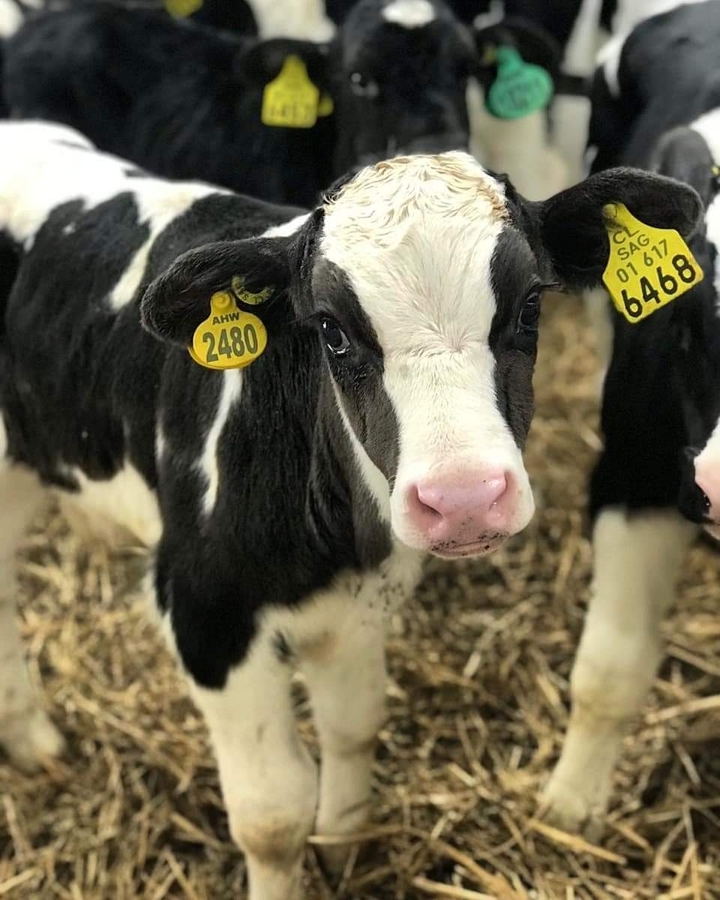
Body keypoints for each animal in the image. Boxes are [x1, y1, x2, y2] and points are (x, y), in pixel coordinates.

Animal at [0, 120, 700, 898]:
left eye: (528, 306)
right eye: (331, 330)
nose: (463, 499)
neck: (331, 535)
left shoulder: (360, 599)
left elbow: (353, 726)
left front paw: (343, 844)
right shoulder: (206, 614)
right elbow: (272, 817)